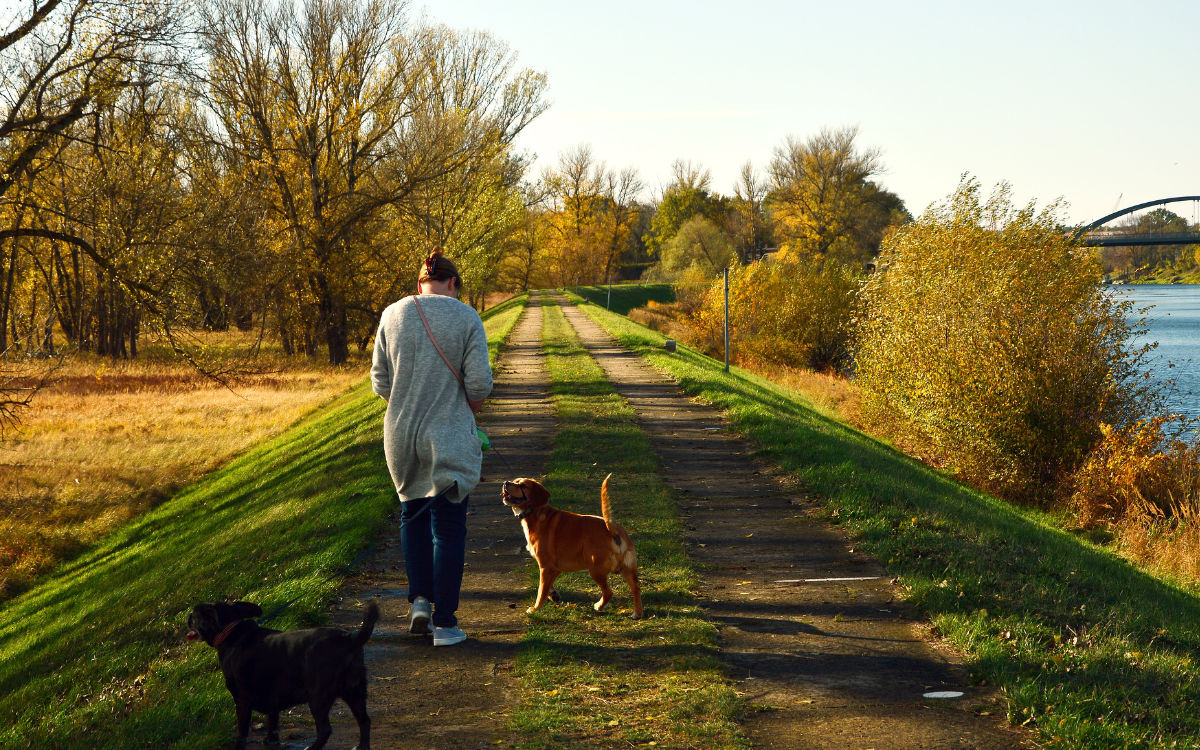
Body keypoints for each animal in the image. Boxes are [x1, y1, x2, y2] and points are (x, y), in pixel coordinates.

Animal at [501, 477, 643, 619]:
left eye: (523, 485)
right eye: (515, 481)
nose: (506, 483)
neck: (536, 512)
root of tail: (612, 528)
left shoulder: (546, 567)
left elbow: (541, 591)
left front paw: (535, 609)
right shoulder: (553, 569)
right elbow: (548, 587)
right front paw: (554, 596)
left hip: (595, 570)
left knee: (608, 592)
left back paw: (598, 606)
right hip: (627, 569)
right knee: (636, 588)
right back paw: (637, 613)